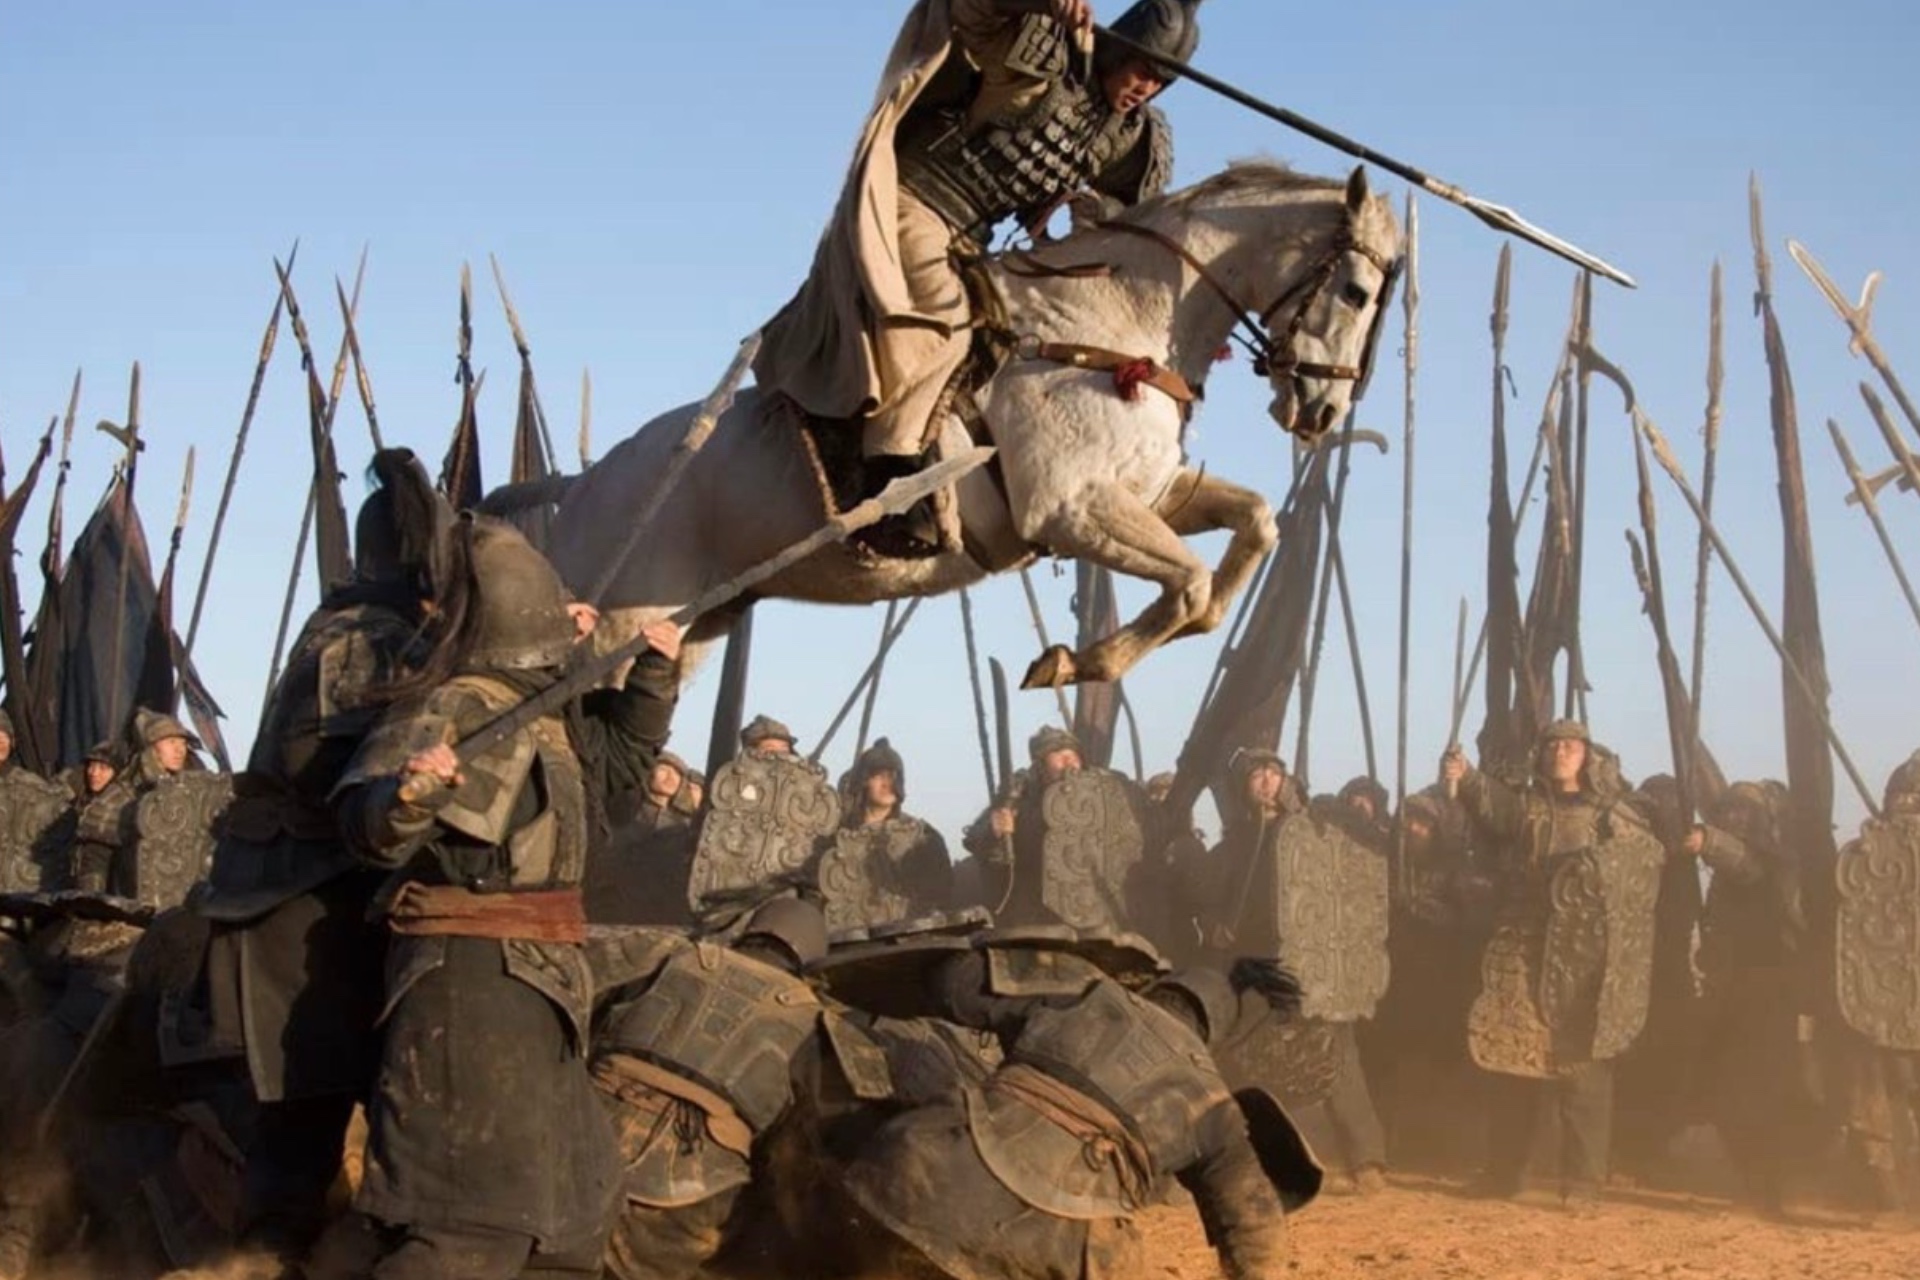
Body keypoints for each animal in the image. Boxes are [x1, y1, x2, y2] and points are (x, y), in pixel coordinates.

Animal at [546, 162, 1402, 690]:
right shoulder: (1072, 511)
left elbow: (1252, 528)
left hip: (689, 630)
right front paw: (1073, 665)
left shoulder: (1147, 496)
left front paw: (1113, 652)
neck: (1106, 321)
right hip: (618, 625)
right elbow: (1190, 583)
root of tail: (584, 489)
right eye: (1358, 293)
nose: (1323, 413)